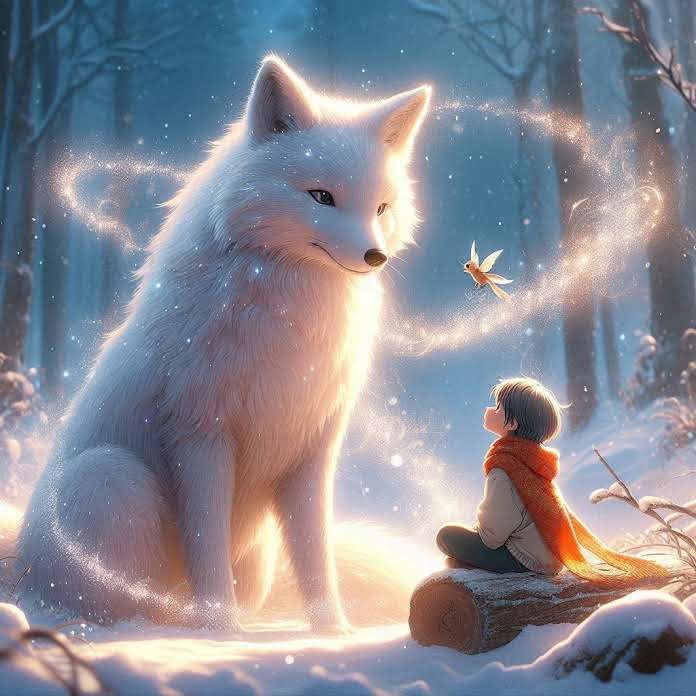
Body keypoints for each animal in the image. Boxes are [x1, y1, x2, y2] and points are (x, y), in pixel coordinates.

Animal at [5, 56, 432, 632]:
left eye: (381, 207)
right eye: (321, 196)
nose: (375, 256)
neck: (289, 316)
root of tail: (17, 564)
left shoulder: (312, 448)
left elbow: (316, 556)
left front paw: (333, 632)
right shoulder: (200, 435)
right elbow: (207, 546)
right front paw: (221, 632)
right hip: (110, 477)